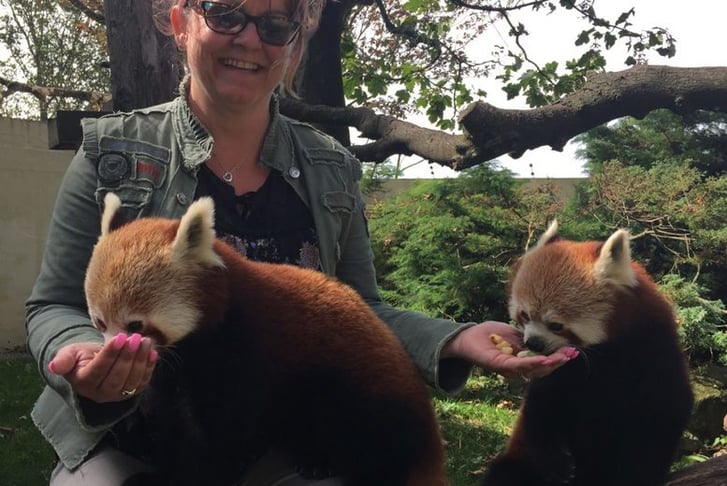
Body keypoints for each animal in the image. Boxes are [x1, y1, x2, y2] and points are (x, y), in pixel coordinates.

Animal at [85, 194, 450, 486]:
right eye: (100, 322)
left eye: (135, 324)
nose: (111, 348)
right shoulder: (176, 367)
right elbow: (171, 422)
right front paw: (160, 474)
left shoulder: (244, 349)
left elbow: (220, 432)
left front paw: (199, 475)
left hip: (364, 394)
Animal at [484, 221, 692, 486]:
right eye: (525, 315)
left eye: (556, 325)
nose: (534, 343)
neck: (603, 353)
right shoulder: (564, 374)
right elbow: (542, 408)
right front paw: (555, 461)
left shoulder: (653, 350)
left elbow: (661, 416)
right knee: (507, 472)